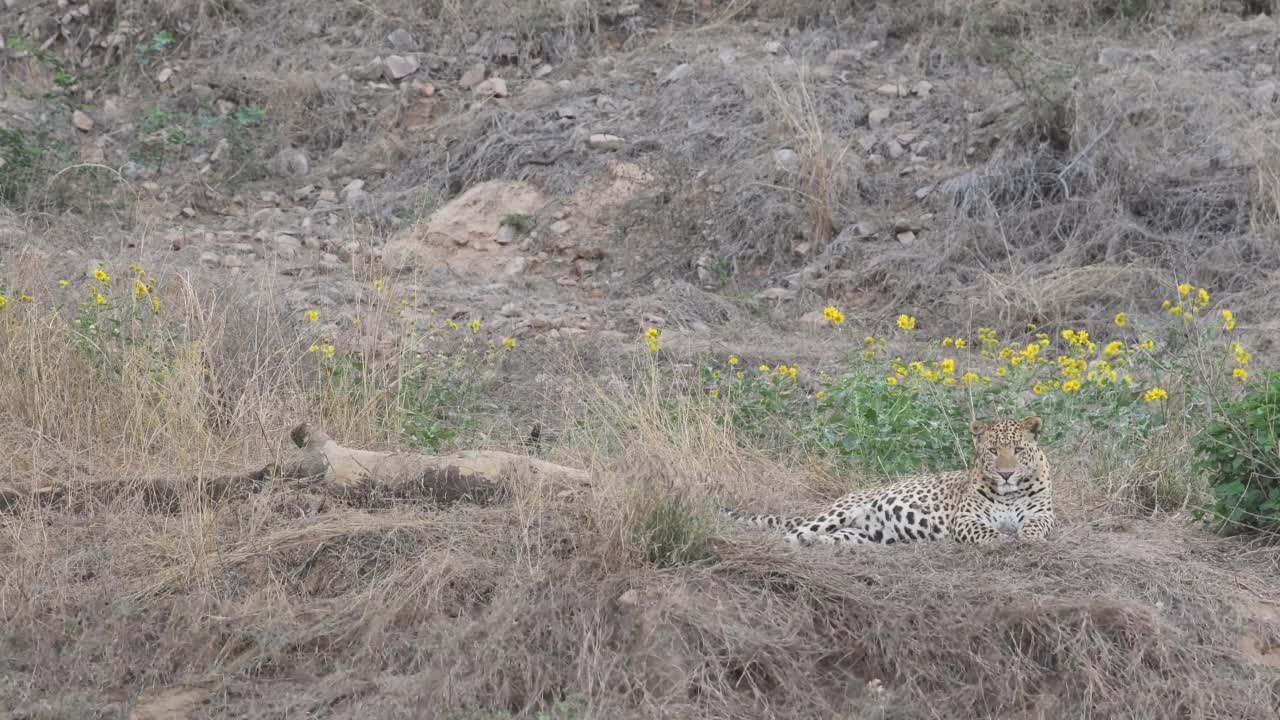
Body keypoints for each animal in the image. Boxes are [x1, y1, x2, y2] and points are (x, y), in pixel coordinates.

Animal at [727, 415, 1054, 543]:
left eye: (1018, 450)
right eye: (993, 451)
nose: (1006, 474)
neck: (1008, 494)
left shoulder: (1043, 514)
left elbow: (1035, 525)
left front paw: (1027, 538)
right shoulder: (965, 518)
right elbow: (984, 530)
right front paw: (1000, 539)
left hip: (862, 534)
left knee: (830, 537)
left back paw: (818, 543)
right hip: (837, 513)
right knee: (793, 533)